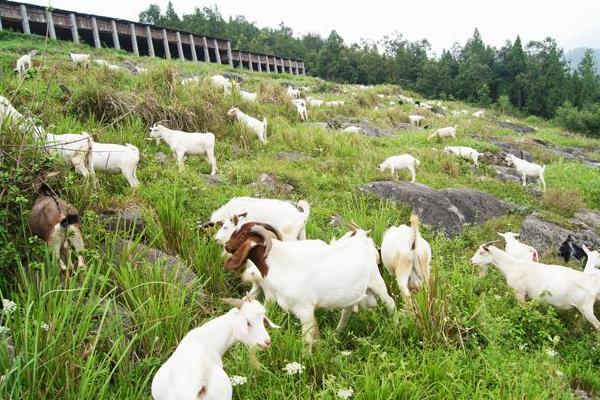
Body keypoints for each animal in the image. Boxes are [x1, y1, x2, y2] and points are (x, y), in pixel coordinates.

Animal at [223, 225, 396, 350]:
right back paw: (337, 333)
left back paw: (395, 325)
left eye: (242, 236)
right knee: (347, 310)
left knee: (390, 303)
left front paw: (306, 358)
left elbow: (307, 339)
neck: (282, 263)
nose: (226, 245)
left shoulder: (304, 310)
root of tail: (365, 244)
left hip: (376, 281)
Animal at [472, 244, 600, 332]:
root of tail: (592, 285)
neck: (512, 266)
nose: (471, 261)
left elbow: (521, 310)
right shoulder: (527, 296)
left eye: (481, 252)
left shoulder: (519, 292)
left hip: (586, 308)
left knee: (597, 324)